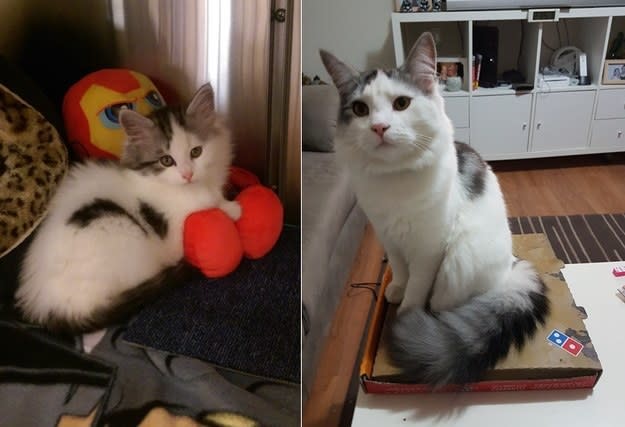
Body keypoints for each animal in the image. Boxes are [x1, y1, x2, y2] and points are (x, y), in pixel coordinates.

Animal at [16, 83, 241, 334]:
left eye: (196, 152)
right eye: (166, 161)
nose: (187, 174)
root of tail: (47, 307)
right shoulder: (175, 230)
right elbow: (204, 205)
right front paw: (232, 209)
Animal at [320, 31, 548, 386]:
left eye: (401, 103)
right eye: (359, 109)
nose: (379, 127)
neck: (394, 182)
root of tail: (512, 270)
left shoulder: (428, 249)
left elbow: (416, 285)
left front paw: (406, 312)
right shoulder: (389, 237)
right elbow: (400, 271)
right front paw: (395, 290)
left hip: (457, 265)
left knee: (447, 301)